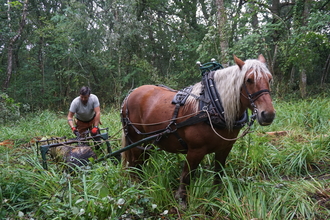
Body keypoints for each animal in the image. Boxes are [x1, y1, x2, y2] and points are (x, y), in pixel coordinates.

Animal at [120, 54, 274, 206]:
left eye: (269, 79)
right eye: (249, 80)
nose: (268, 115)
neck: (213, 106)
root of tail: (130, 95)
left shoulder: (225, 148)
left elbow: (218, 172)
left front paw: (217, 196)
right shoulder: (196, 150)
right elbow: (186, 176)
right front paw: (181, 200)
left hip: (149, 141)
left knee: (141, 160)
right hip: (135, 139)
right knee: (134, 163)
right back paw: (137, 186)